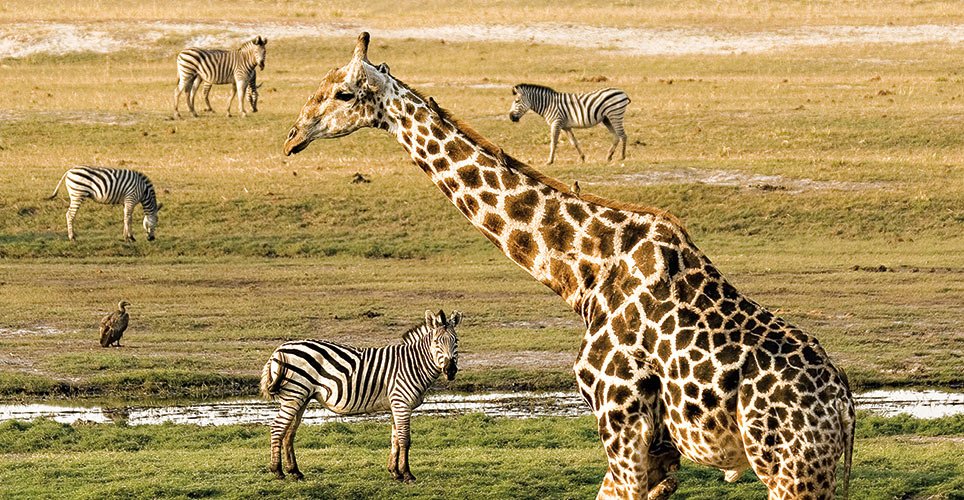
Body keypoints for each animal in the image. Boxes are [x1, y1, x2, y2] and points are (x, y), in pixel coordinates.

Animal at [262, 310, 462, 482]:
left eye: (456, 341)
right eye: (436, 341)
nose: (450, 370)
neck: (413, 364)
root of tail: (279, 350)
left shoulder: (395, 405)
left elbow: (395, 439)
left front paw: (394, 472)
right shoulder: (402, 404)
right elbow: (405, 440)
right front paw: (407, 474)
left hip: (301, 397)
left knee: (289, 433)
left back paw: (295, 471)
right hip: (294, 395)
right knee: (277, 428)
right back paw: (277, 471)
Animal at [504, 83, 632, 164]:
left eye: (517, 101)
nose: (511, 117)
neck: (548, 105)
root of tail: (622, 92)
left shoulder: (556, 123)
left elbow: (553, 142)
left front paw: (549, 161)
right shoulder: (566, 126)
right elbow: (574, 142)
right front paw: (582, 158)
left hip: (615, 114)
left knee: (623, 135)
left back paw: (622, 157)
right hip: (607, 118)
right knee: (616, 136)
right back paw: (609, 156)